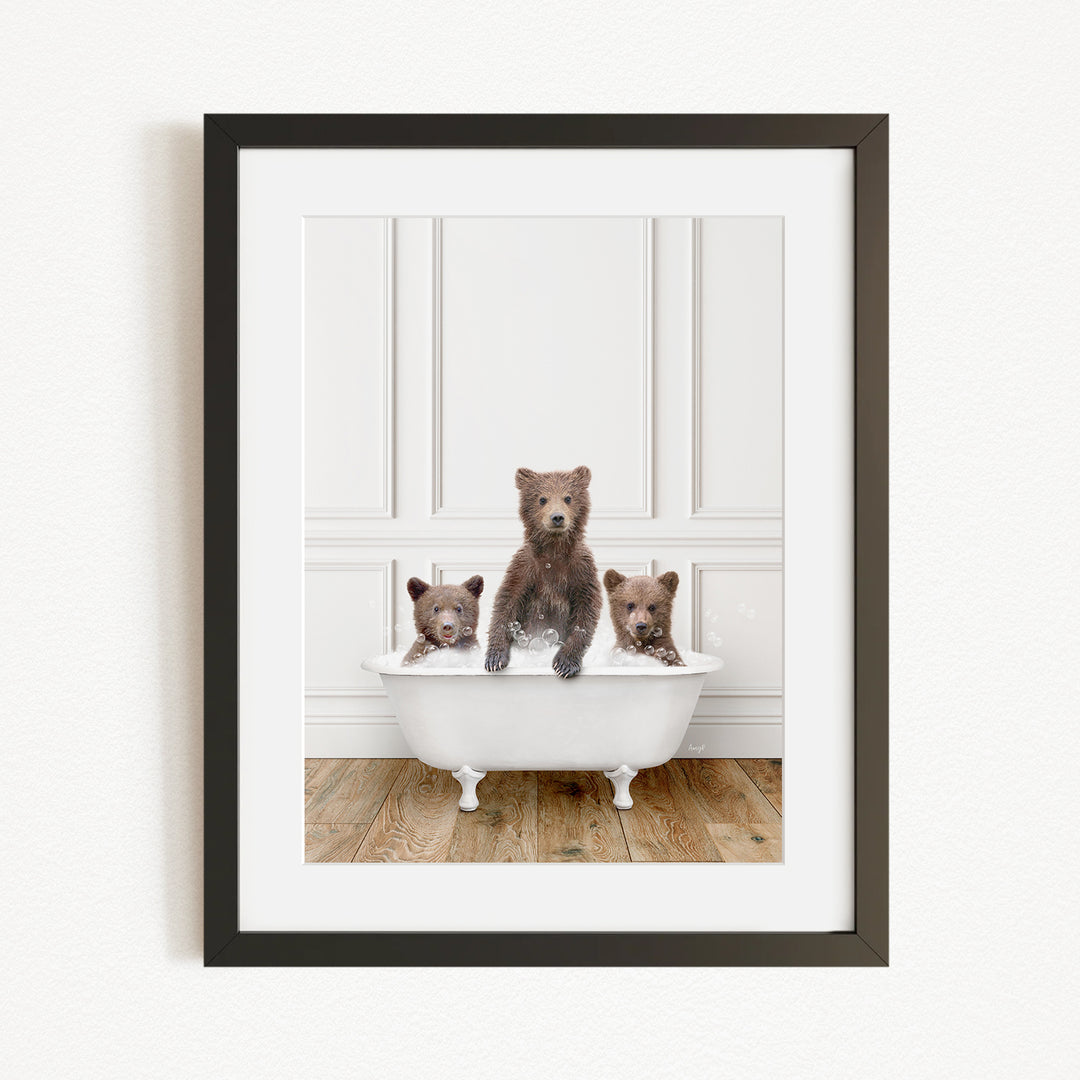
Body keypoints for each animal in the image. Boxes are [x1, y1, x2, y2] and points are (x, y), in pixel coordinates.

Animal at [484, 466, 602, 678]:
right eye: (542, 499)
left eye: (568, 497)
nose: (557, 517)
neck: (553, 551)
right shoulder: (525, 567)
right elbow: (507, 602)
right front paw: (495, 658)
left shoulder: (581, 569)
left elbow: (586, 611)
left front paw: (564, 664)